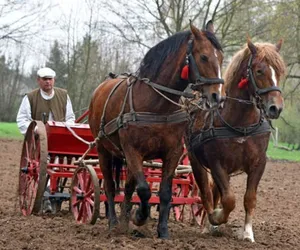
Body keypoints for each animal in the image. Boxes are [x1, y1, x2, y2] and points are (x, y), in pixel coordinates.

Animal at [89, 20, 225, 237]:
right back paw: (114, 222)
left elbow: (164, 192)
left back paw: (124, 222)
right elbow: (144, 190)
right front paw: (139, 216)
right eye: (204, 56)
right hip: (104, 150)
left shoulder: (173, 152)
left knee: (128, 187)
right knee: (110, 186)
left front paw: (162, 231)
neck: (157, 104)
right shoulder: (132, 150)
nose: (216, 97)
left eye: (220, 57)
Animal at [188, 38, 286, 241]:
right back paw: (209, 222)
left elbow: (249, 198)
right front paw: (216, 217)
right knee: (206, 192)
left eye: (279, 71)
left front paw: (248, 233)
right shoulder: (217, 163)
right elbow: (228, 200)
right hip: (196, 161)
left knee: (214, 192)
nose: (276, 108)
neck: (241, 124)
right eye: (259, 71)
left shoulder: (259, 163)